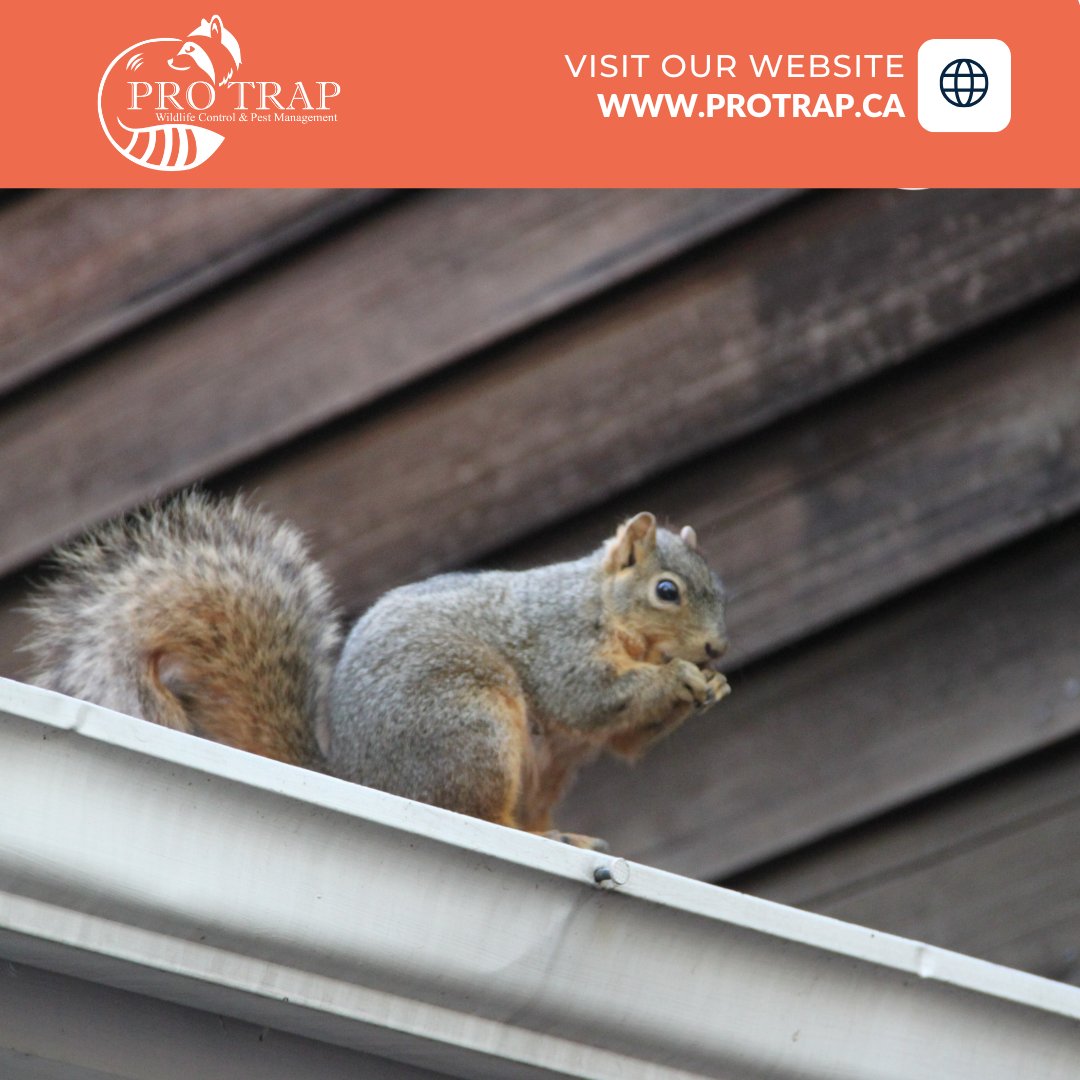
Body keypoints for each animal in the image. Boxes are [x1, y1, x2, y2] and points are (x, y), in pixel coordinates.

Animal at [24, 495, 730, 849]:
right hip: (470, 726)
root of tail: (363, 778)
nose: (717, 649)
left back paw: (564, 836)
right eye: (667, 591)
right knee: (475, 812)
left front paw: (712, 688)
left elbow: (624, 740)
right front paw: (679, 679)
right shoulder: (557, 641)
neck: (602, 607)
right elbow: (589, 698)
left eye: (719, 588)